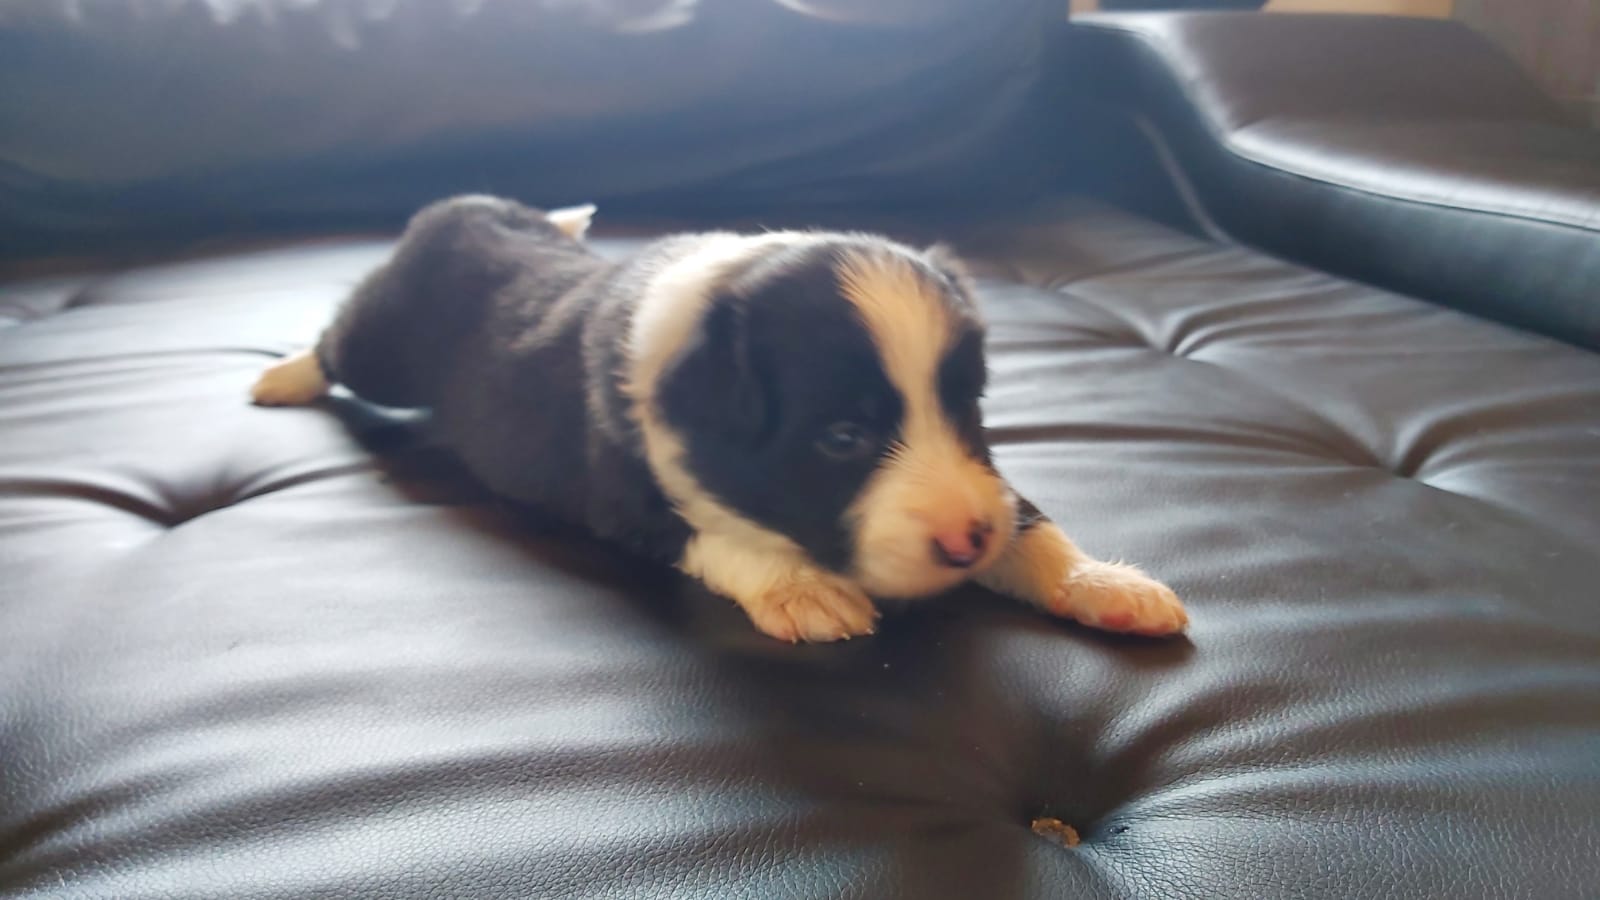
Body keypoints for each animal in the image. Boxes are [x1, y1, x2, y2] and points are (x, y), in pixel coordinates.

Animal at [251, 195, 1188, 643]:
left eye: (971, 408)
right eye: (842, 438)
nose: (966, 544)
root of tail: (473, 206)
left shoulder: (987, 479)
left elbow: (1028, 519)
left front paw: (1102, 583)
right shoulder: (622, 493)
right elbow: (719, 534)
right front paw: (803, 589)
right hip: (384, 340)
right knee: (337, 341)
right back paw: (281, 378)